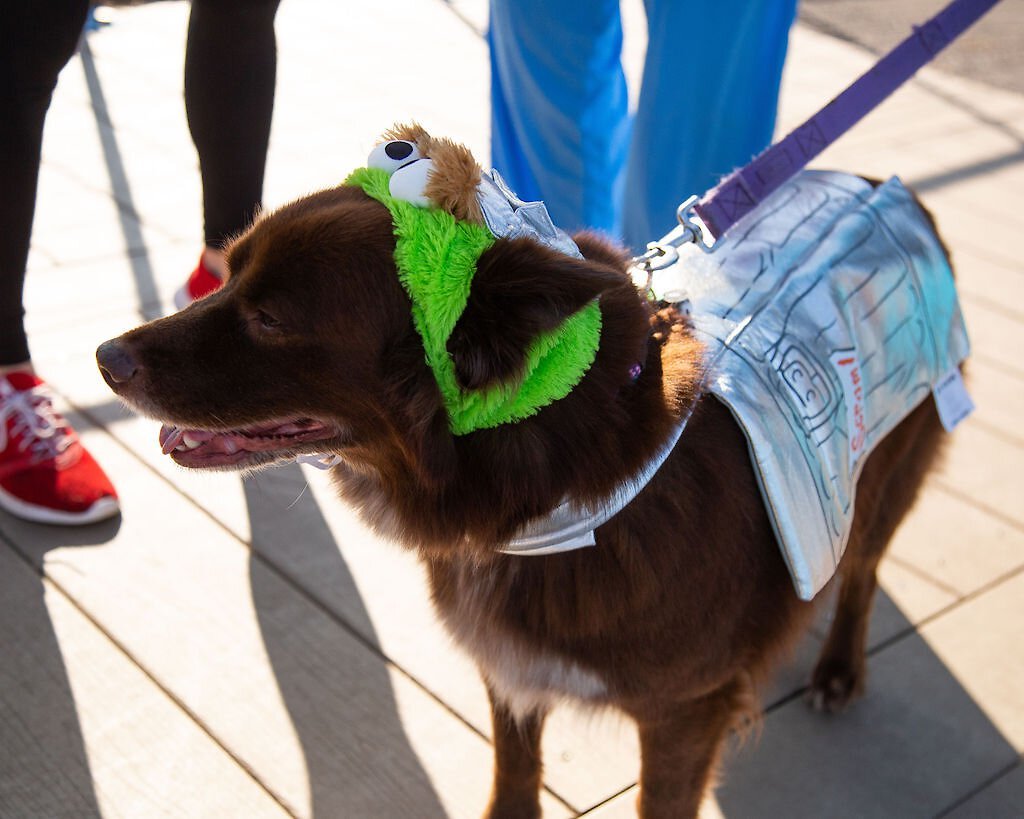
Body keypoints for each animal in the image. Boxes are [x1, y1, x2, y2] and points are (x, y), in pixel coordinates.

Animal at [96, 129, 950, 818]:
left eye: (271, 318)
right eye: (230, 270)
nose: (106, 357)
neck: (566, 482)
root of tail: (887, 187)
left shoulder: (683, 712)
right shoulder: (510, 664)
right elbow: (516, 769)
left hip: (891, 469)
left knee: (864, 569)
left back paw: (838, 667)